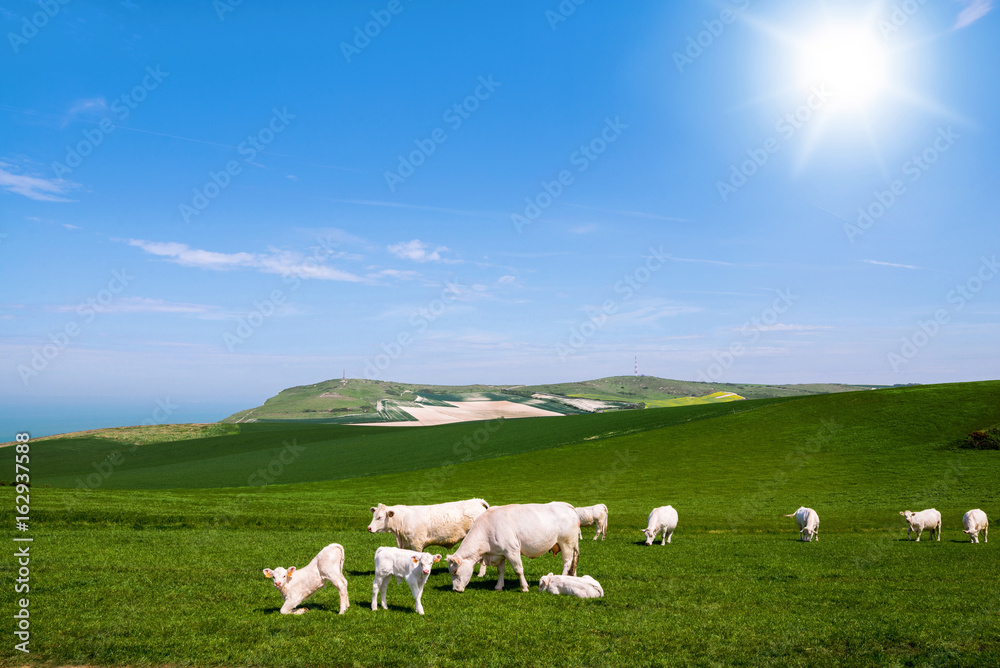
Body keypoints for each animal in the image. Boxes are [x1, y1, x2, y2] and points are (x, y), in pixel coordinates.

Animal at [446, 500, 580, 596]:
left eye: (455, 571)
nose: (455, 589)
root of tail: (567, 506)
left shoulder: (512, 551)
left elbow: (518, 570)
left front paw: (524, 587)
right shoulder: (499, 554)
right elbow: (500, 571)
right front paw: (498, 586)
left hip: (566, 543)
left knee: (567, 563)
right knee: (573, 562)